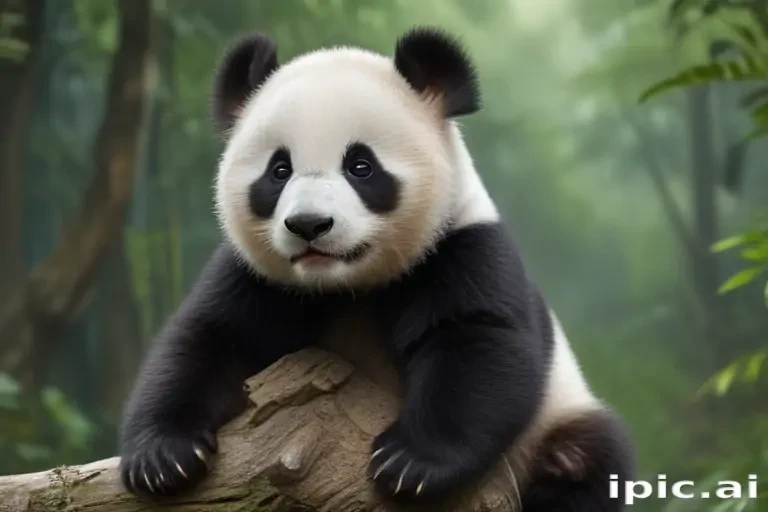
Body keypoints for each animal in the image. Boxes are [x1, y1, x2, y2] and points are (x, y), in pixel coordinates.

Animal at [119, 27, 635, 511]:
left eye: (361, 166)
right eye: (279, 170)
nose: (309, 224)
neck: (348, 287)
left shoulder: (464, 249)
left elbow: (478, 348)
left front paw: (411, 464)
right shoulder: (258, 277)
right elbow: (207, 337)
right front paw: (163, 457)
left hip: (558, 419)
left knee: (585, 460)